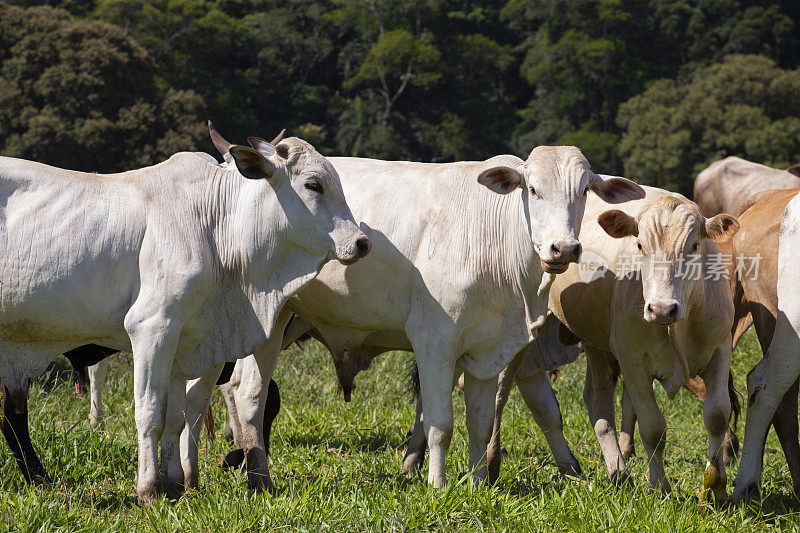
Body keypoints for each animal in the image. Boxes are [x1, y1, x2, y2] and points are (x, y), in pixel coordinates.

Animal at [0, 121, 368, 502]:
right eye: (313, 185)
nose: (361, 242)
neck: (215, 225)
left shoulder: (186, 338)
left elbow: (177, 418)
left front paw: (176, 486)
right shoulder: (152, 328)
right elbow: (150, 413)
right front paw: (148, 490)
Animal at [500, 187, 744, 498]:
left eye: (694, 246)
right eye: (640, 245)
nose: (662, 309)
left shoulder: (720, 350)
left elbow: (717, 415)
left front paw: (715, 486)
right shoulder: (632, 360)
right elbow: (653, 428)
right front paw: (660, 487)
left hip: (595, 344)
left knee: (596, 401)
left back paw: (616, 472)